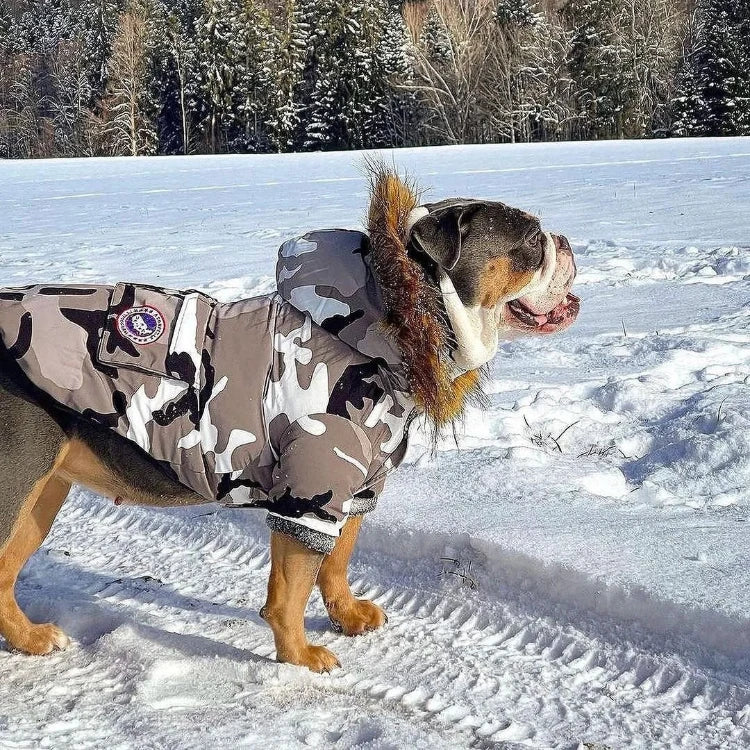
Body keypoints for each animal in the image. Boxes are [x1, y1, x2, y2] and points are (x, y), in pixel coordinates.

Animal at [0, 170, 580, 676]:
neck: (400, 315)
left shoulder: (354, 491)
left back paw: (32, 639)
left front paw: (348, 616)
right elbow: (290, 589)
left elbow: (336, 561)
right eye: (531, 242)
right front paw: (299, 656)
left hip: (42, 495)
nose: (565, 240)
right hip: (17, 486)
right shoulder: (310, 492)